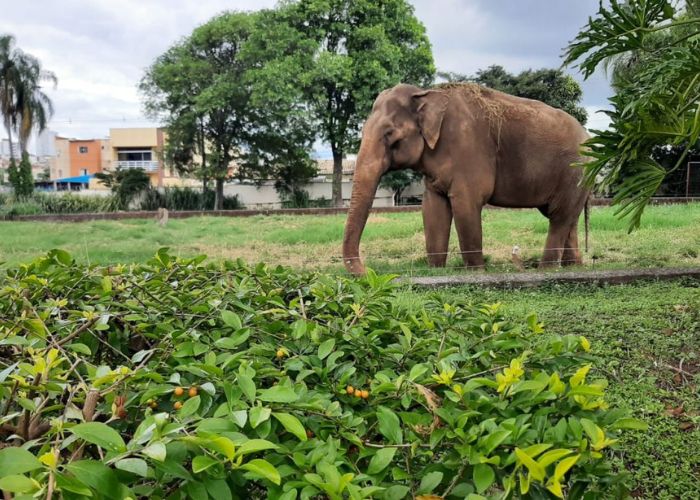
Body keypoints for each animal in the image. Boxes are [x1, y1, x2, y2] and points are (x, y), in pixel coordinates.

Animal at [342, 82, 590, 276]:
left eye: (390, 135)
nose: (368, 272)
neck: (427, 93)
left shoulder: (468, 149)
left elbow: (466, 205)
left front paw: (477, 272)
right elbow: (432, 209)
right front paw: (436, 271)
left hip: (574, 172)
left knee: (559, 217)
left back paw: (546, 269)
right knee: (566, 217)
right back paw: (572, 267)